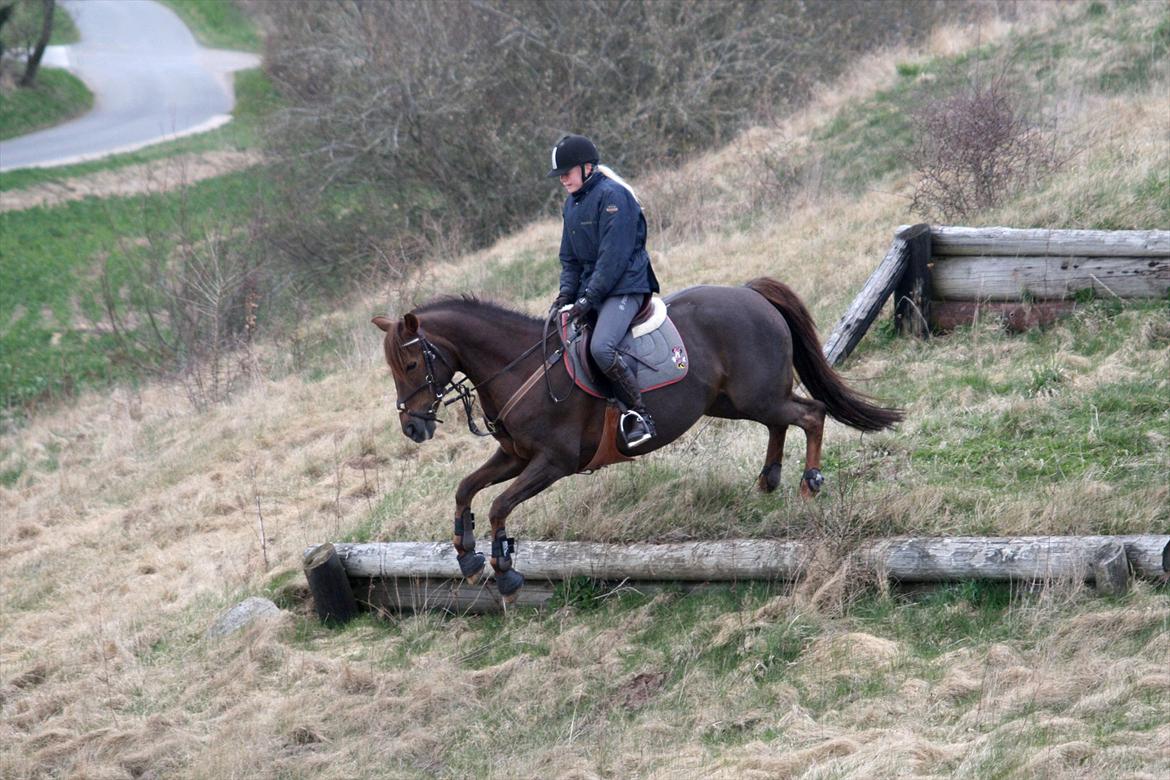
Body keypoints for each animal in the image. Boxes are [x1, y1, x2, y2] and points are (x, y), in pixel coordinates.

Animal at [369, 277, 898, 603]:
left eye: (411, 364)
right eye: (393, 368)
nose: (413, 428)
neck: (520, 367)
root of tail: (751, 295)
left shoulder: (554, 463)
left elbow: (500, 506)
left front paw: (504, 569)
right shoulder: (514, 456)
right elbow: (465, 489)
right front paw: (467, 553)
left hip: (756, 396)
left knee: (811, 414)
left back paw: (810, 481)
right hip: (735, 401)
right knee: (782, 422)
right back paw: (769, 479)